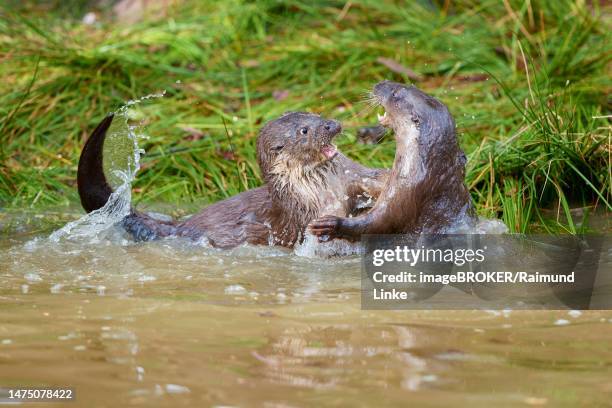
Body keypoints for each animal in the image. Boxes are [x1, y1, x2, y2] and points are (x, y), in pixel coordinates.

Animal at [77, 110, 388, 249]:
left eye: (318, 115)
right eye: (304, 130)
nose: (332, 125)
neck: (322, 188)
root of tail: (181, 227)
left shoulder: (353, 175)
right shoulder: (302, 214)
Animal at [308, 81, 476, 241]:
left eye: (395, 94)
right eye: (411, 84)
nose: (380, 83)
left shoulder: (405, 196)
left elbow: (375, 225)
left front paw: (332, 224)